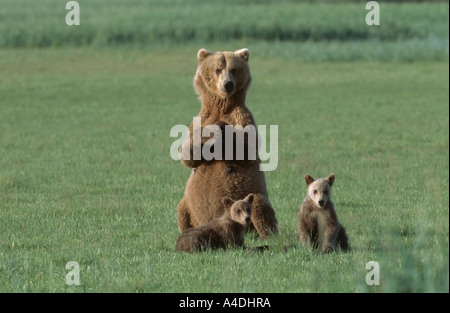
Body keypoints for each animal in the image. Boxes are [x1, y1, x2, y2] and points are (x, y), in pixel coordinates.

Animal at [177, 47, 278, 238]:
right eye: (217, 70)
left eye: (233, 69)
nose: (228, 84)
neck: (221, 106)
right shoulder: (201, 118)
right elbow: (186, 153)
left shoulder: (242, 116)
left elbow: (246, 148)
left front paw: (221, 130)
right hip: (188, 205)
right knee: (181, 208)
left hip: (251, 200)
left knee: (259, 206)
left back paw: (267, 234)